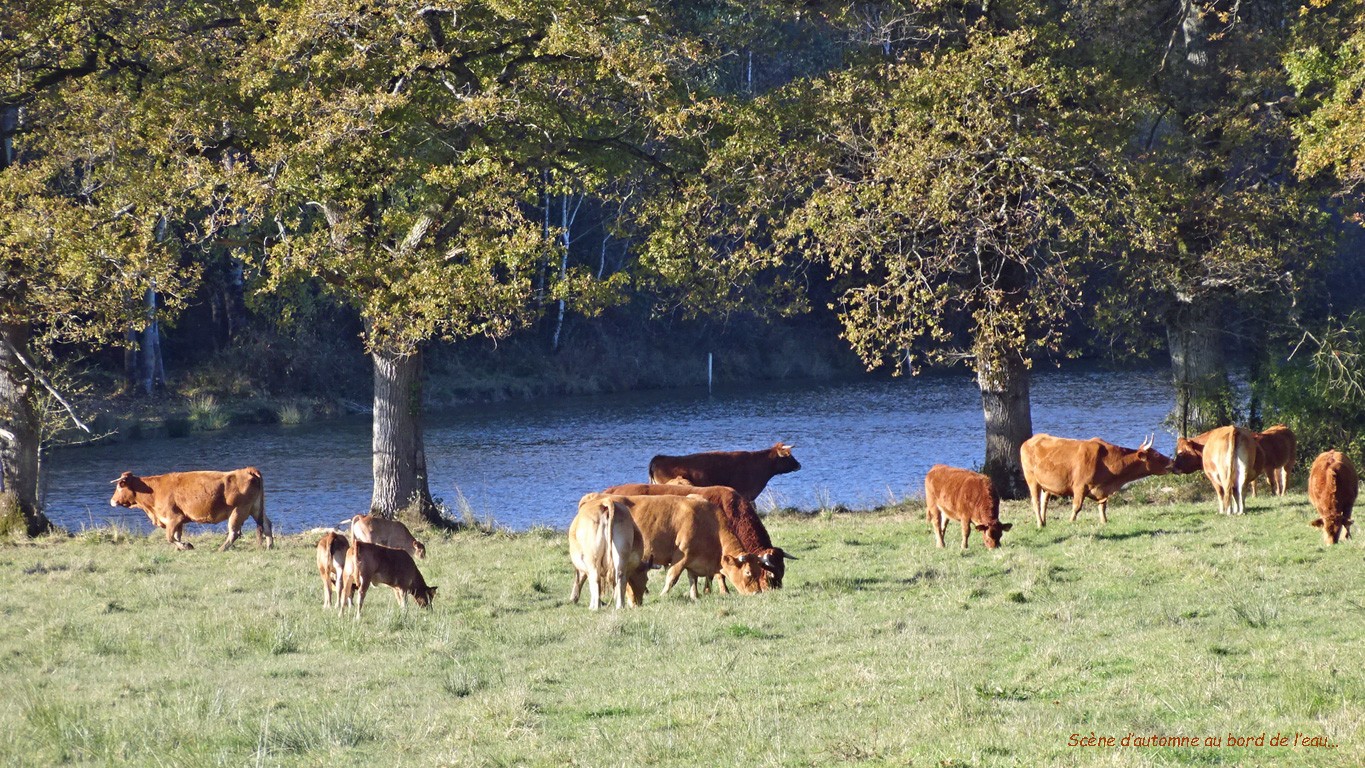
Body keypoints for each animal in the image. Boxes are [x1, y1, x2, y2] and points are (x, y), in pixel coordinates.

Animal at [111, 466, 274, 551]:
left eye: (120, 486)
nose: (112, 501)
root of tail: (246, 470)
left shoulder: (173, 518)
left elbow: (170, 537)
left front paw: (186, 545)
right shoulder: (179, 520)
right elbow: (176, 536)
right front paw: (180, 548)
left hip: (239, 510)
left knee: (234, 532)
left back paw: (221, 549)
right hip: (256, 508)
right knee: (266, 524)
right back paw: (269, 546)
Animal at [1021, 433, 1168, 529]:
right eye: (1156, 454)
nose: (1172, 461)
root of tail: (1030, 440)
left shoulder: (1102, 490)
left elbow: (1102, 506)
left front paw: (1104, 521)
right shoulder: (1080, 486)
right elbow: (1077, 507)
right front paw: (1071, 521)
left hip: (1046, 485)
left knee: (1044, 502)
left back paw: (1044, 522)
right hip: (1032, 480)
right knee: (1036, 502)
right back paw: (1040, 524)